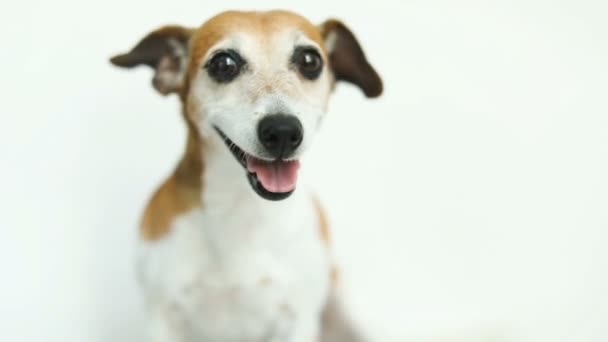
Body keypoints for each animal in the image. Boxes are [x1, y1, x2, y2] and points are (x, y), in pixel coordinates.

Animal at [110, 9, 380, 340]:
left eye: (310, 60)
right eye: (223, 64)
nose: (282, 131)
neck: (240, 209)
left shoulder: (297, 320)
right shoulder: (162, 318)